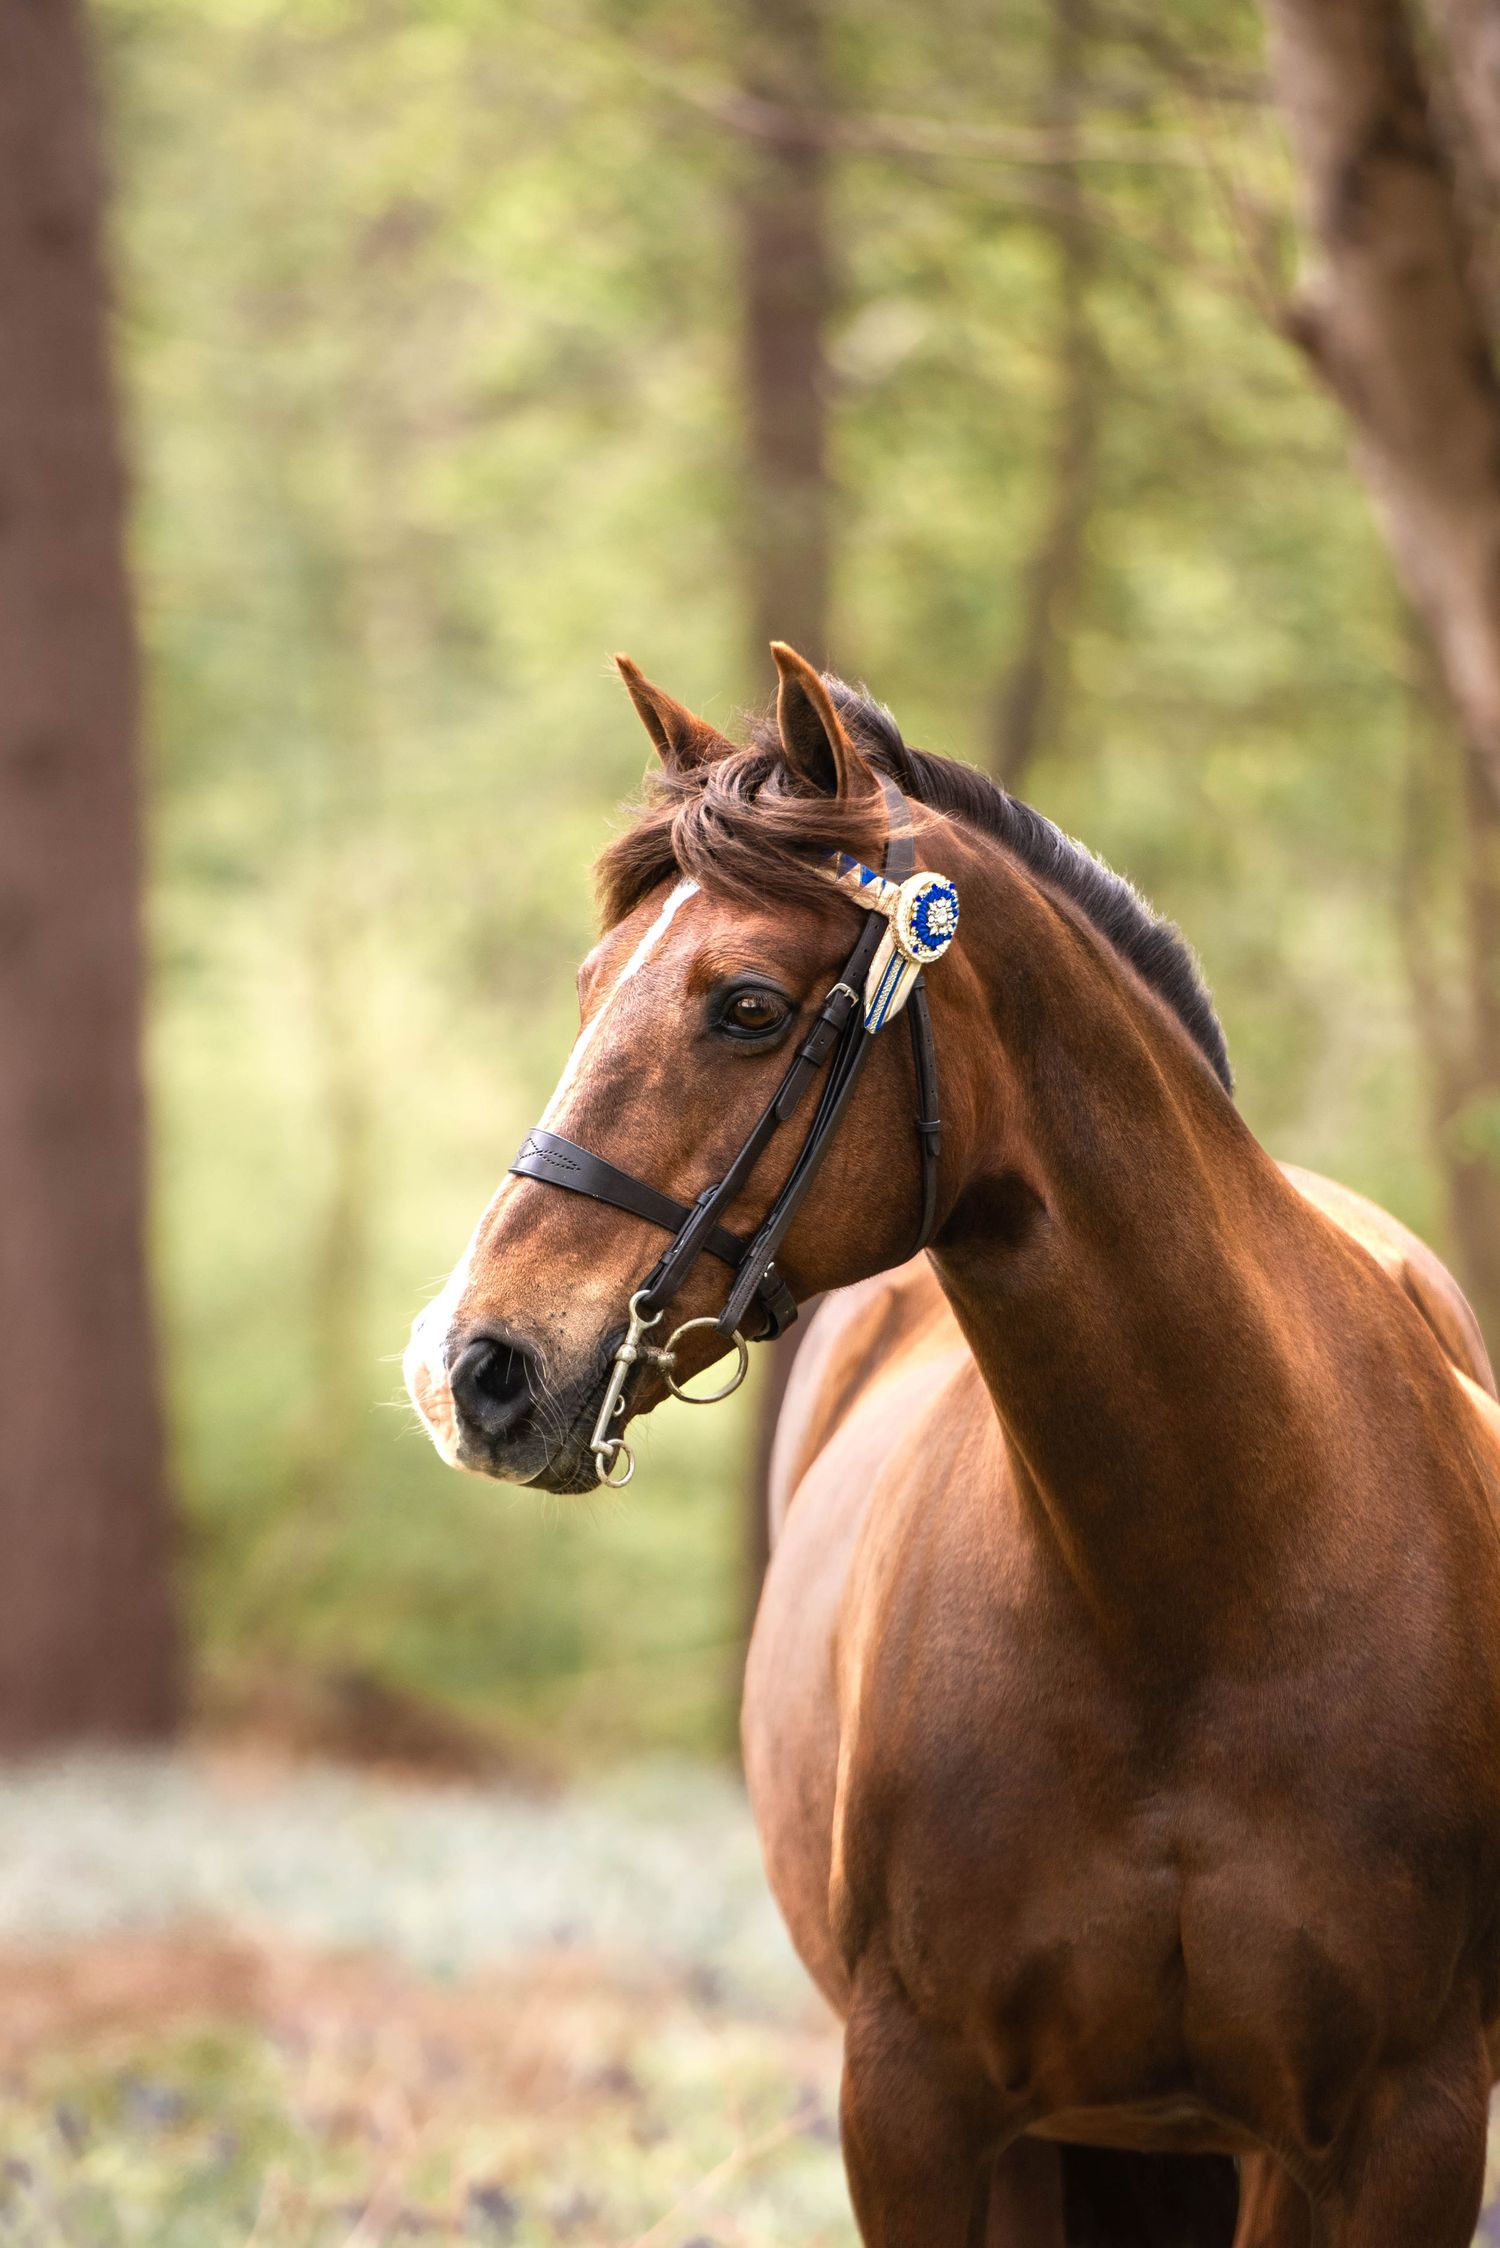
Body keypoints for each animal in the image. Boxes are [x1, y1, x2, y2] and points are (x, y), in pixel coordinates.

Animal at [405, 642, 1500, 2246]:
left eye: (745, 1005)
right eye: (595, 983)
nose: (475, 1368)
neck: (1203, 1590)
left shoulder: (1400, 2130)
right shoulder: (917, 2105)